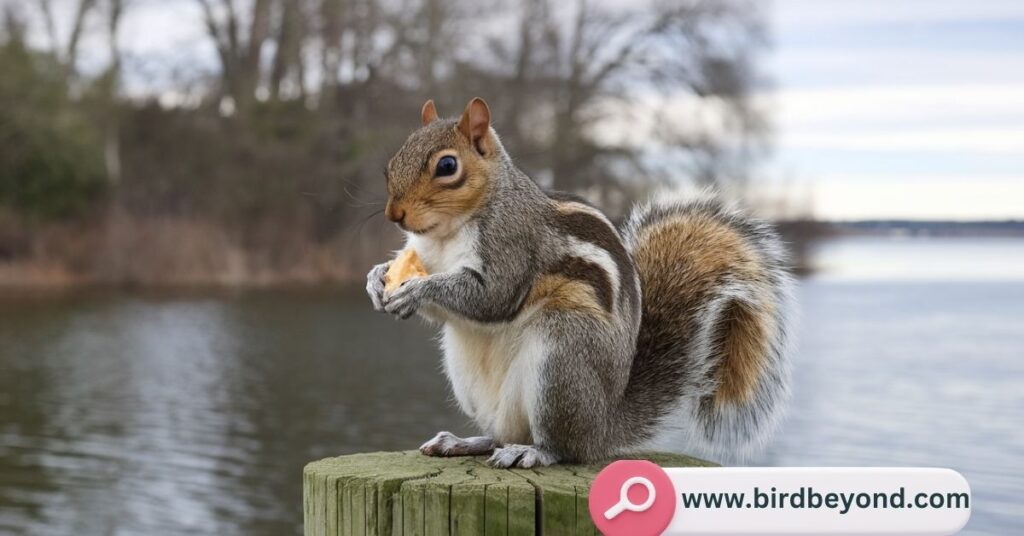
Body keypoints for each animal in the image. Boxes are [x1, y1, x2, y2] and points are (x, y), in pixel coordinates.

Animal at [366, 98, 790, 467]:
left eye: (447, 165)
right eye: (393, 160)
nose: (394, 214)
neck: (446, 233)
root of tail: (602, 425)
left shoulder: (513, 243)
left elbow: (492, 297)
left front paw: (416, 290)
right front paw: (375, 280)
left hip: (562, 358)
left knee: (564, 447)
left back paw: (534, 452)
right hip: (472, 378)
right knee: (500, 434)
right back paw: (464, 442)